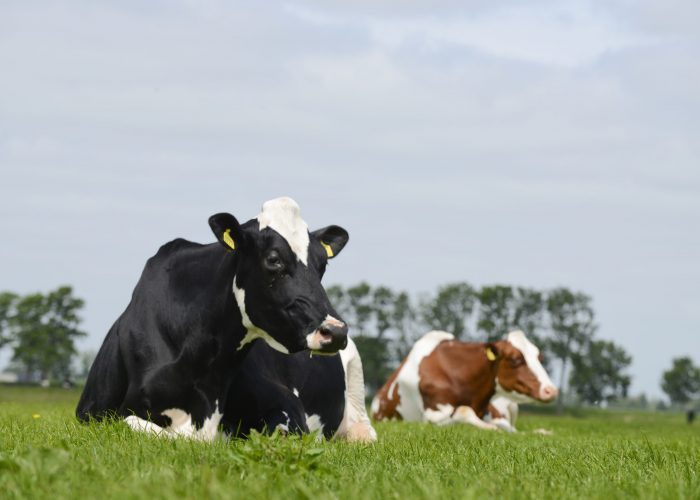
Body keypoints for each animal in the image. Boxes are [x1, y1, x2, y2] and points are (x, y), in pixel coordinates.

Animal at [372, 328, 556, 430]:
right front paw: (489, 428)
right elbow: (464, 411)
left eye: (540, 358)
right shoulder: (431, 416)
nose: (551, 390)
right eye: (515, 359)